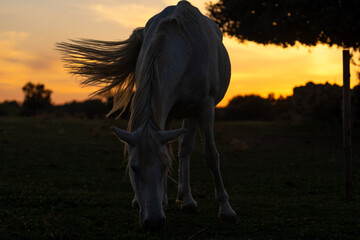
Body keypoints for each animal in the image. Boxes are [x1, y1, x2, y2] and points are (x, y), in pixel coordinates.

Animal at [57, 0, 236, 232]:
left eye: (163, 167)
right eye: (133, 168)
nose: (153, 222)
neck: (185, 51)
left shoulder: (205, 108)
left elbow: (211, 156)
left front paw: (226, 210)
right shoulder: (165, 109)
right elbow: (171, 150)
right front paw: (161, 201)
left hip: (191, 112)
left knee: (186, 149)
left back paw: (187, 200)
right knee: (182, 148)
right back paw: (177, 199)